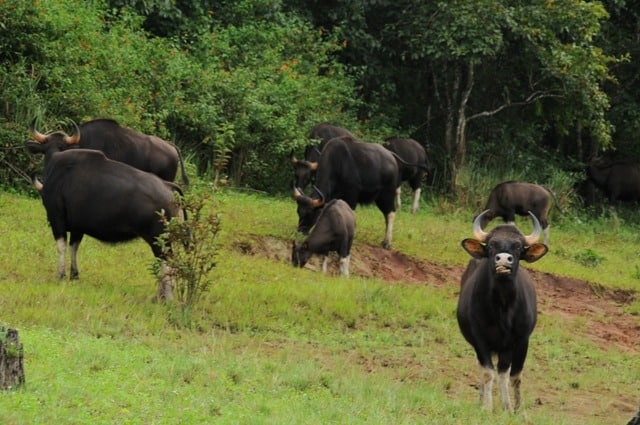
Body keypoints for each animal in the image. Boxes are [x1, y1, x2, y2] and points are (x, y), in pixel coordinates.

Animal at [458, 210, 548, 412]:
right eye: (492, 244)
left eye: (518, 247)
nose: (504, 260)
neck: (503, 307)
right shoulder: (480, 339)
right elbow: (488, 372)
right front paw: (487, 407)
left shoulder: (520, 341)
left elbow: (511, 376)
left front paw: (512, 409)